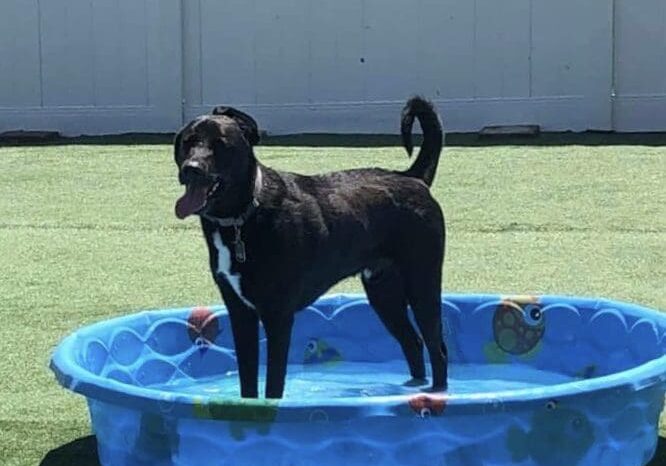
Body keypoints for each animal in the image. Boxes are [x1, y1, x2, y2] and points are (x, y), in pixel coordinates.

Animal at [174, 96, 448, 398]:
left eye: (220, 144)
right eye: (188, 141)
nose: (191, 168)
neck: (242, 217)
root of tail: (413, 177)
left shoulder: (278, 315)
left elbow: (273, 383)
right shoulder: (240, 313)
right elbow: (248, 382)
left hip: (422, 282)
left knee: (438, 349)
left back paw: (437, 393)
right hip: (383, 292)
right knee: (413, 343)